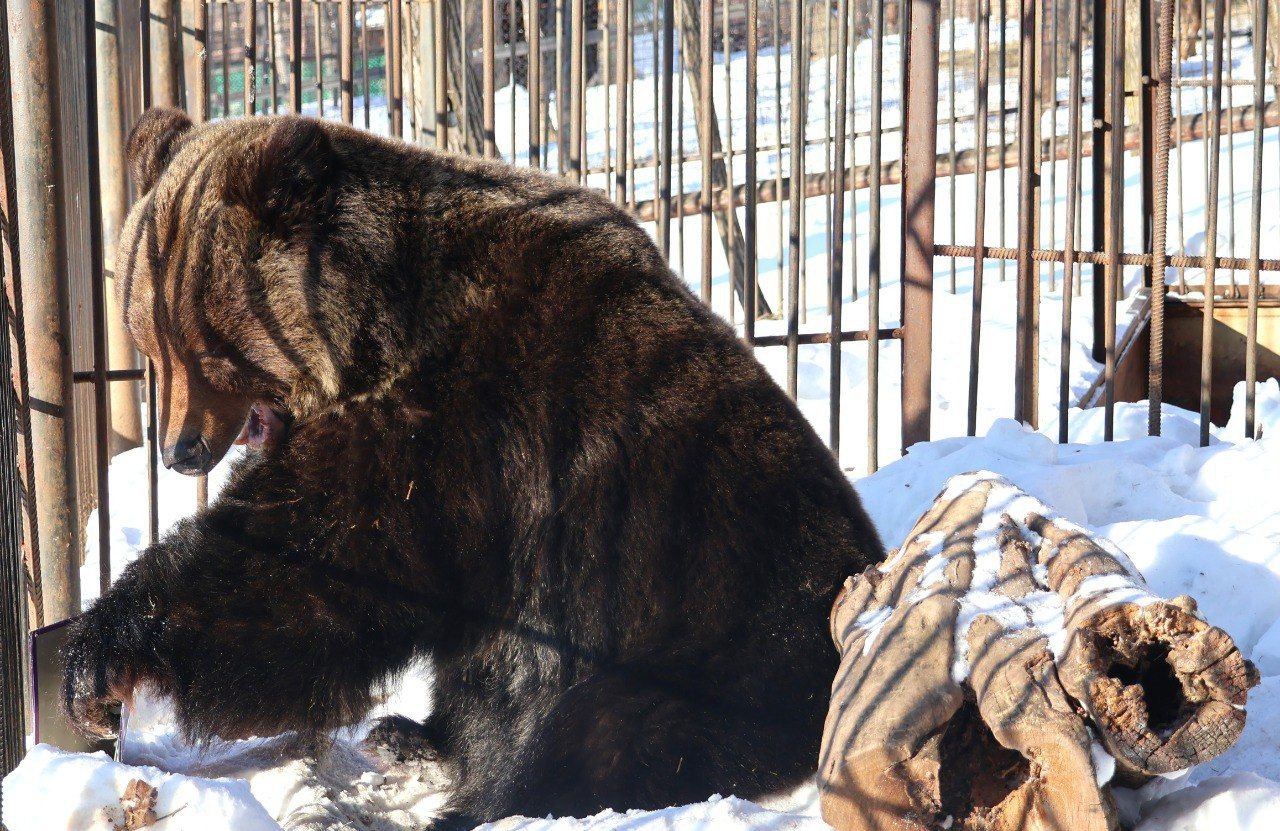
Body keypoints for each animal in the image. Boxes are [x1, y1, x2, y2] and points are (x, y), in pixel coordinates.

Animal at [64, 108, 885, 824]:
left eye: (204, 346)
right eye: (148, 340)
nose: (180, 451)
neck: (378, 328)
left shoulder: (465, 410)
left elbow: (315, 555)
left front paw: (102, 656)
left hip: (719, 643)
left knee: (606, 738)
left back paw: (483, 801)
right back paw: (409, 735)